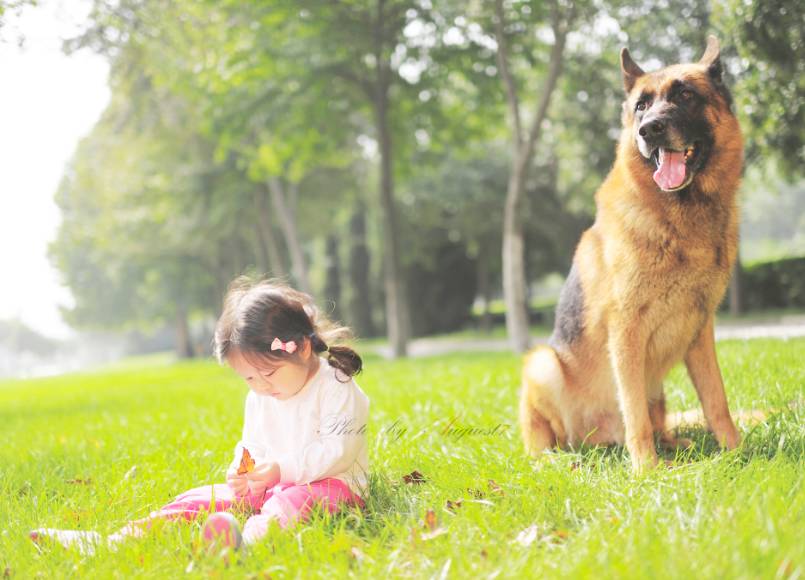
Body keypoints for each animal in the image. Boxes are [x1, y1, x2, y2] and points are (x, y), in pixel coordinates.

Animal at [520, 35, 744, 472]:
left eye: (685, 95)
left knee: (659, 421)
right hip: (542, 364)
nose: (649, 129)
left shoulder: (700, 333)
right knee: (550, 437)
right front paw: (645, 469)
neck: (680, 218)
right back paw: (558, 459)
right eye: (641, 105)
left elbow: (717, 400)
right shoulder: (626, 333)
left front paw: (735, 451)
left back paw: (675, 444)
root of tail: (598, 442)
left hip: (657, 389)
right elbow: (634, 412)